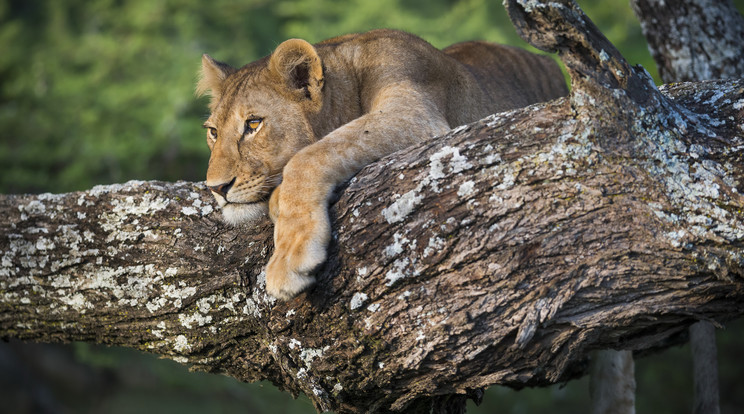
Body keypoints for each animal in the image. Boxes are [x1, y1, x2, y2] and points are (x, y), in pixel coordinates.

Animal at [195, 29, 568, 300]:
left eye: (253, 124)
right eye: (213, 132)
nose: (217, 188)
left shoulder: (415, 114)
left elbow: (310, 156)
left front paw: (290, 257)